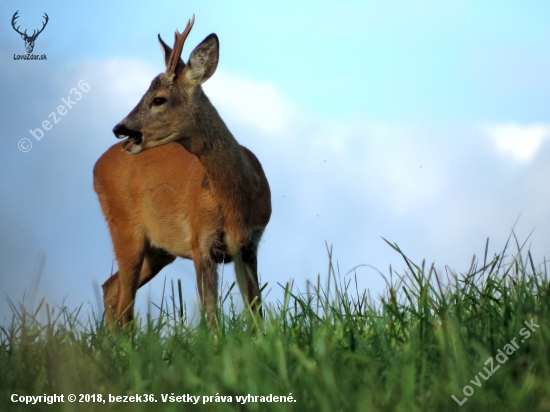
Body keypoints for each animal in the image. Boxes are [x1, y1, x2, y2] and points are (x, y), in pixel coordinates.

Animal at [94, 16, 272, 330]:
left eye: (158, 99)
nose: (120, 128)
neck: (236, 203)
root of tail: (96, 166)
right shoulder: (200, 240)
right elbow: (211, 315)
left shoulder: (248, 246)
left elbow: (255, 313)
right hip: (123, 227)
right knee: (124, 299)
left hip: (159, 250)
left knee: (111, 287)